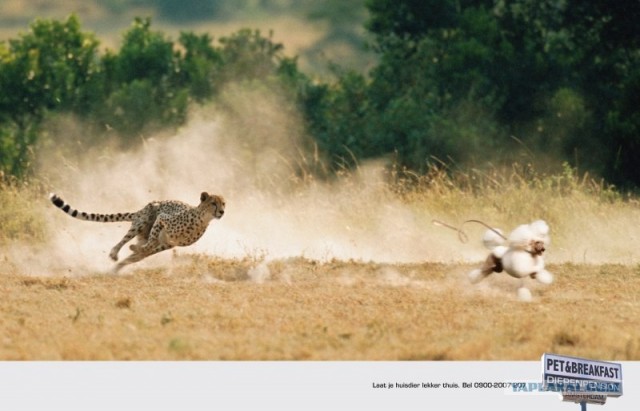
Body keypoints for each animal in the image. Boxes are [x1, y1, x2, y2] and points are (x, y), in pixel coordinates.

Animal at [49, 192, 225, 272]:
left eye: (223, 203)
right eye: (213, 203)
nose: (222, 211)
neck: (202, 219)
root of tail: (141, 209)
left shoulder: (169, 244)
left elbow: (149, 247)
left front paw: (137, 251)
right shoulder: (161, 218)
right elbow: (151, 241)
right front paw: (135, 249)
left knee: (136, 254)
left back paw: (117, 267)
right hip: (142, 222)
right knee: (124, 241)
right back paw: (115, 253)